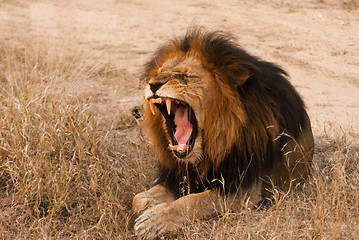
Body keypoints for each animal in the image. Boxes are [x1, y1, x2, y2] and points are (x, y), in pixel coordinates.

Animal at [133, 28, 316, 238]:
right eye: (159, 73)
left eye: (188, 76)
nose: (153, 84)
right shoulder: (178, 176)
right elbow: (138, 199)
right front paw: (149, 204)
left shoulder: (244, 190)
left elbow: (194, 201)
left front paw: (154, 221)